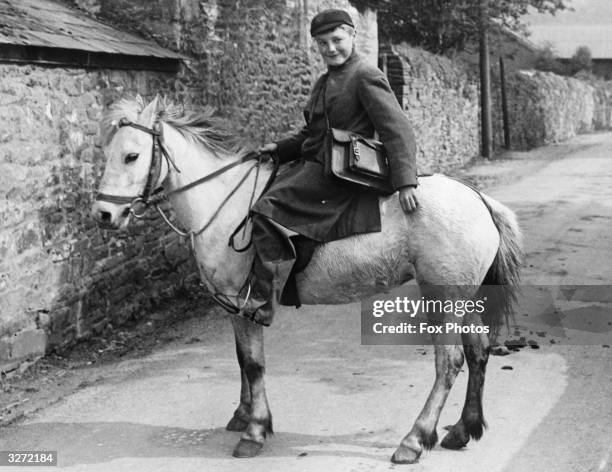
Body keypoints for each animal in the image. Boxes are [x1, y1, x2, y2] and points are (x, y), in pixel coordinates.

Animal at [91, 97, 520, 464]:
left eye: (132, 155)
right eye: (106, 153)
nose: (103, 215)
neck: (224, 202)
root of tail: (480, 200)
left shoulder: (247, 303)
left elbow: (254, 364)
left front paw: (255, 430)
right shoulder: (232, 304)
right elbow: (241, 359)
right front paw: (242, 414)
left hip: (443, 300)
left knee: (449, 362)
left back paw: (414, 439)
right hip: (465, 301)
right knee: (478, 354)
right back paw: (463, 429)